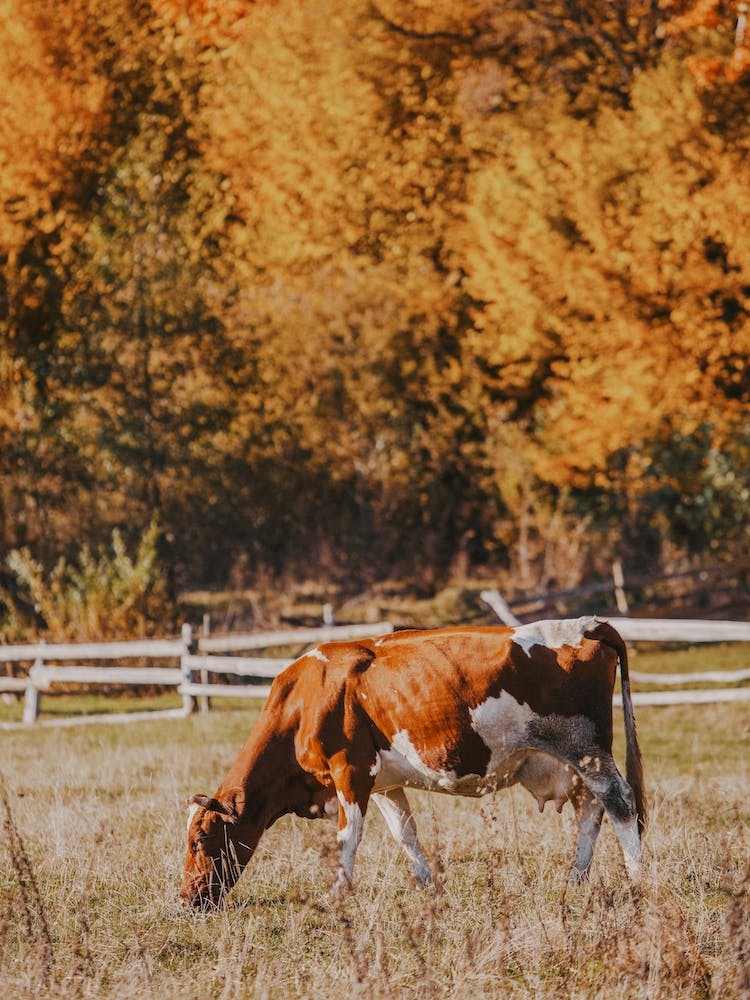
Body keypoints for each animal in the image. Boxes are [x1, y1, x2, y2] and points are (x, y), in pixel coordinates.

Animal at [180, 616, 646, 909]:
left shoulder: (350, 771)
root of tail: (588, 624)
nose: (186, 900)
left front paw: (337, 892)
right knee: (593, 811)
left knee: (621, 804)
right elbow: (405, 834)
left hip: (587, 750)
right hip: (577, 761)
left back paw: (638, 880)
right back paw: (576, 878)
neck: (305, 701)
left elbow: (348, 838)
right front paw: (429, 886)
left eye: (199, 841)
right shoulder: (384, 782)